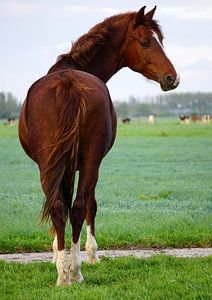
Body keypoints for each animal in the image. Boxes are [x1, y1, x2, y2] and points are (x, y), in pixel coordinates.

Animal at [19, 5, 180, 284]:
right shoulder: (80, 165)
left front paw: (70, 254)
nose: (172, 77)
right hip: (82, 163)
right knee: (73, 207)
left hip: (62, 164)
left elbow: (71, 203)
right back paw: (70, 272)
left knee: (67, 207)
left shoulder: (72, 166)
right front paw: (78, 254)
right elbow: (82, 203)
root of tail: (68, 82)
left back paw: (69, 273)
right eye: (145, 42)